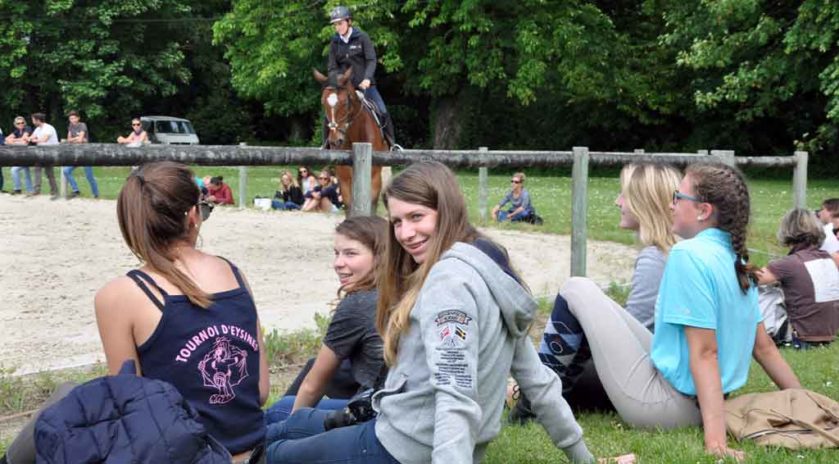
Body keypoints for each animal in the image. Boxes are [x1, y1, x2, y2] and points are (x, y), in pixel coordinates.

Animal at [312, 66, 388, 214]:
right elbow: (349, 206)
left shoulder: (374, 176)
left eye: (345, 102)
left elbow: (371, 205)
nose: (335, 141)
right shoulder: (344, 178)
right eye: (323, 103)